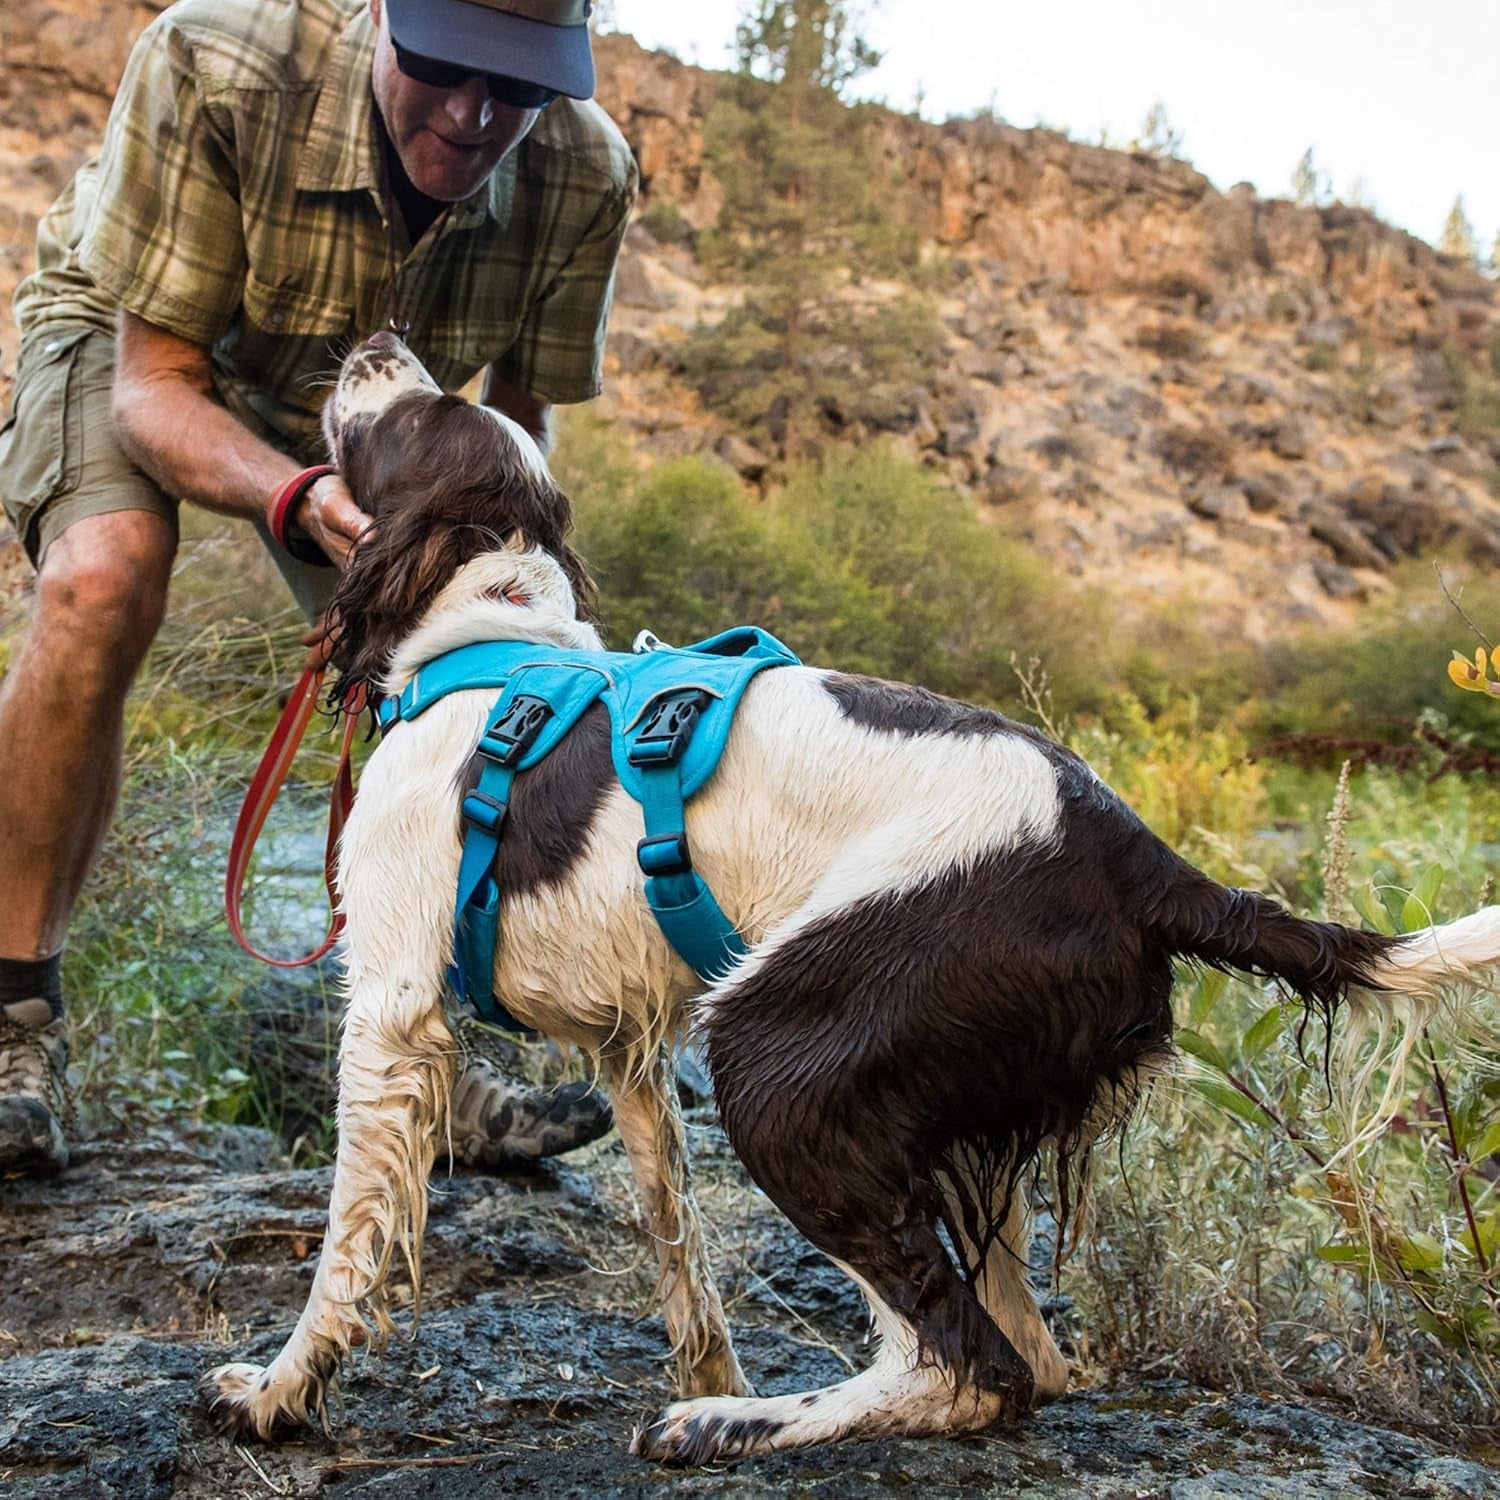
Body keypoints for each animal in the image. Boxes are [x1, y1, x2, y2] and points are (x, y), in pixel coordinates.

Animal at [205, 331, 1500, 1464]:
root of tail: (1137, 853)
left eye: (414, 416)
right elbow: (680, 1248)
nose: (375, 336)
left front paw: (280, 1392)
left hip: (778, 1052)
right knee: (1025, 1356)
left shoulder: (393, 1011)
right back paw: (740, 1405)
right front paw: (711, 1365)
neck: (487, 645)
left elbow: (347, 1243)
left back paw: (738, 1426)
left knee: (977, 1369)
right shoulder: (631, 1049)